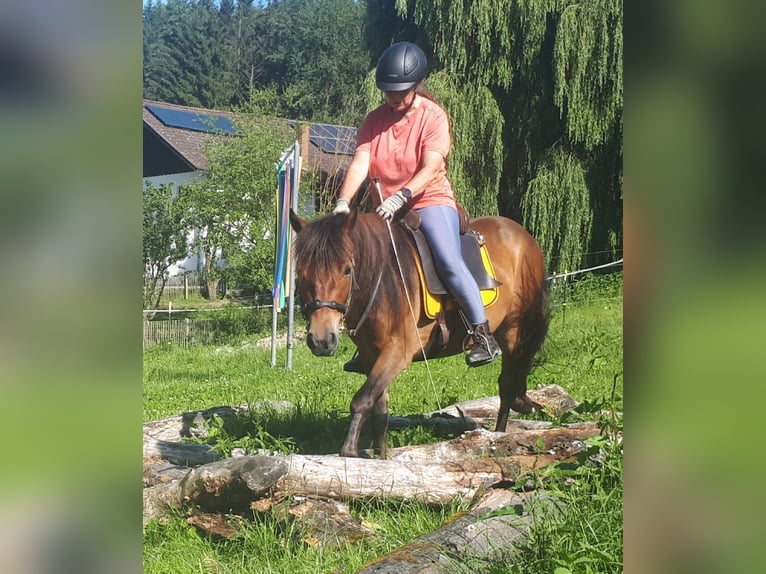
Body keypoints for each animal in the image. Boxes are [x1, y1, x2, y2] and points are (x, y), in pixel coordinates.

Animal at [292, 210, 548, 460]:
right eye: (300, 274)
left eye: (347, 270)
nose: (321, 340)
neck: (382, 282)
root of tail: (520, 233)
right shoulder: (372, 356)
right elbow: (379, 412)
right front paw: (380, 458)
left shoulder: (398, 352)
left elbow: (362, 400)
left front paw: (349, 451)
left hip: (514, 331)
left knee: (507, 385)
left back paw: (500, 434)